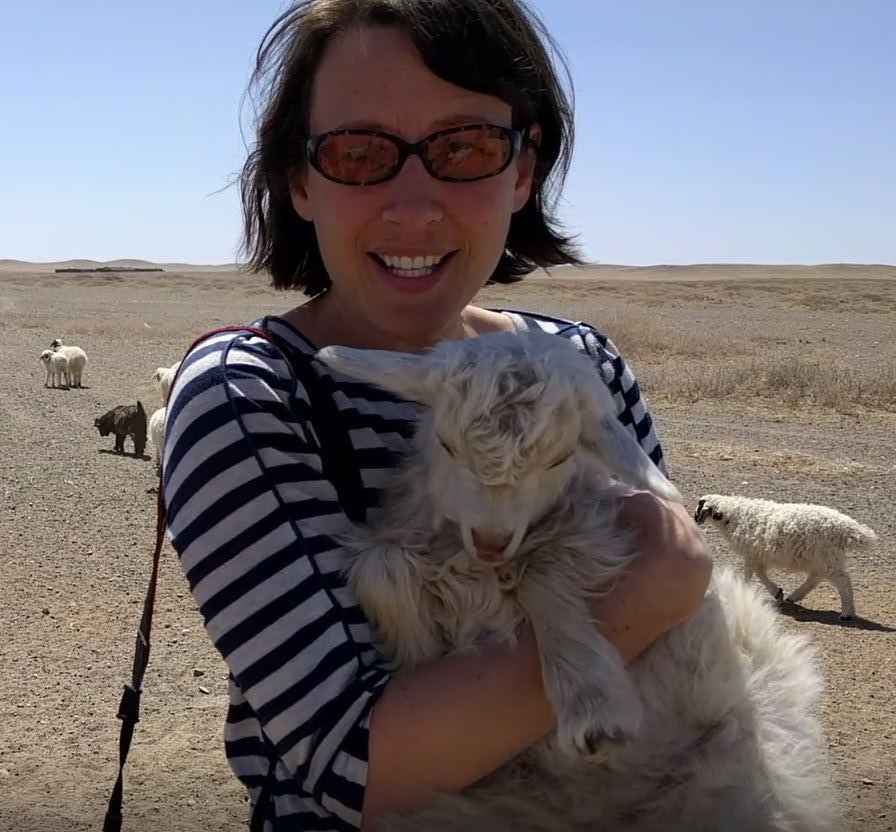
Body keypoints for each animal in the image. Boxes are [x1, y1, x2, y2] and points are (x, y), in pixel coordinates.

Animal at [318, 332, 836, 832]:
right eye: (445, 445)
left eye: (558, 460)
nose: (491, 540)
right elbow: (381, 567)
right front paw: (419, 650)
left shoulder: (594, 531)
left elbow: (543, 577)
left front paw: (591, 702)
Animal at [692, 490, 876, 620]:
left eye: (699, 507)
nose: (694, 519)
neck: (735, 515)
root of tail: (845, 527)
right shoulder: (757, 555)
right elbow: (759, 572)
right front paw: (777, 592)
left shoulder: (751, 553)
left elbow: (751, 573)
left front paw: (747, 591)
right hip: (824, 558)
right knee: (818, 577)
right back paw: (795, 596)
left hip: (827, 556)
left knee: (843, 581)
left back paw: (846, 613)